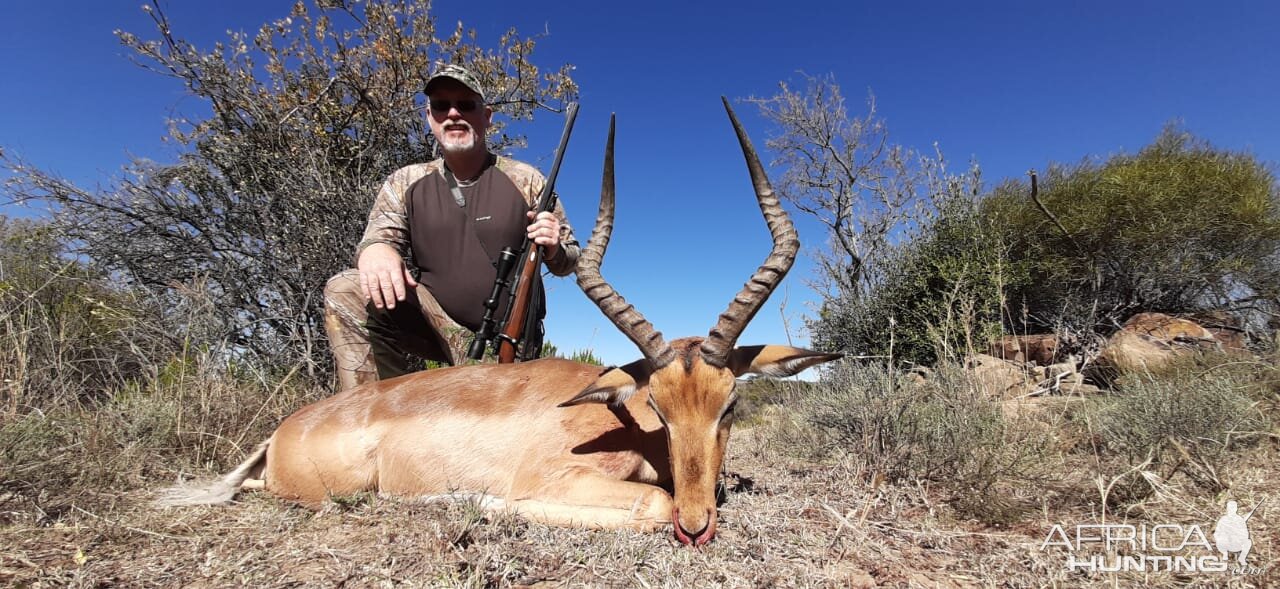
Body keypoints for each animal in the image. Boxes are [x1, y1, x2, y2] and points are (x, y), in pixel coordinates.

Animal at [157, 99, 839, 545]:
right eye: (659, 407)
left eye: (730, 406)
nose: (696, 528)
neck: (624, 427)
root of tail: (284, 431)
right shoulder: (570, 481)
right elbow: (650, 500)